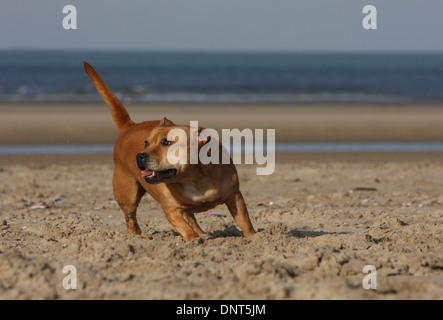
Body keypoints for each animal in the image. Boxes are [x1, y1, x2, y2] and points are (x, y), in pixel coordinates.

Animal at [84, 61, 256, 241]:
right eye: (146, 143)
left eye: (166, 142)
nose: (140, 156)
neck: (195, 178)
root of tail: (129, 127)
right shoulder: (172, 211)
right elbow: (186, 229)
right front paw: (194, 240)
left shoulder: (234, 197)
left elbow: (245, 222)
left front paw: (253, 237)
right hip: (127, 194)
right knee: (131, 217)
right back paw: (135, 236)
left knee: (191, 218)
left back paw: (203, 233)